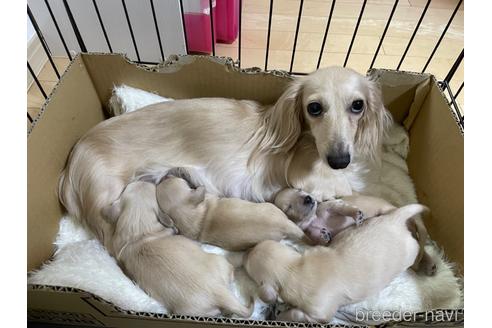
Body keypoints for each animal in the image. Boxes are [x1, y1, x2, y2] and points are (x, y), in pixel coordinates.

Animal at [245, 204, 426, 322]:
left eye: (247, 266)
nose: (246, 252)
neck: (293, 270)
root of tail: (395, 218)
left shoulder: (320, 312)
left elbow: (299, 314)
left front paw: (282, 316)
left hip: (410, 251)